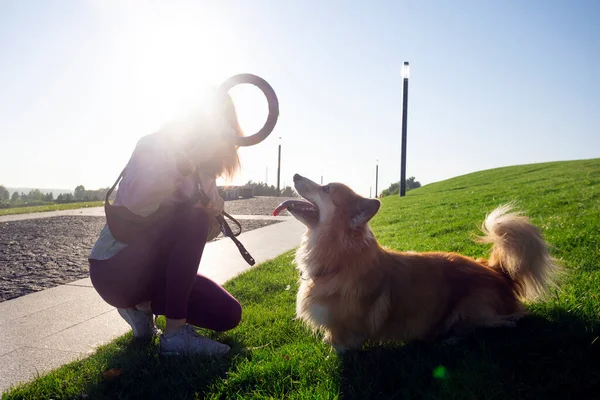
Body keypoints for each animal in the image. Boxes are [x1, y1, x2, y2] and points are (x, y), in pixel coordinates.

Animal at [274, 173, 560, 352]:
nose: (295, 174)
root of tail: (498, 272)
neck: (341, 258)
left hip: (474, 307)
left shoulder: (346, 333)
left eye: (326, 189)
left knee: (507, 319)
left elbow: (339, 347)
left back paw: (455, 338)